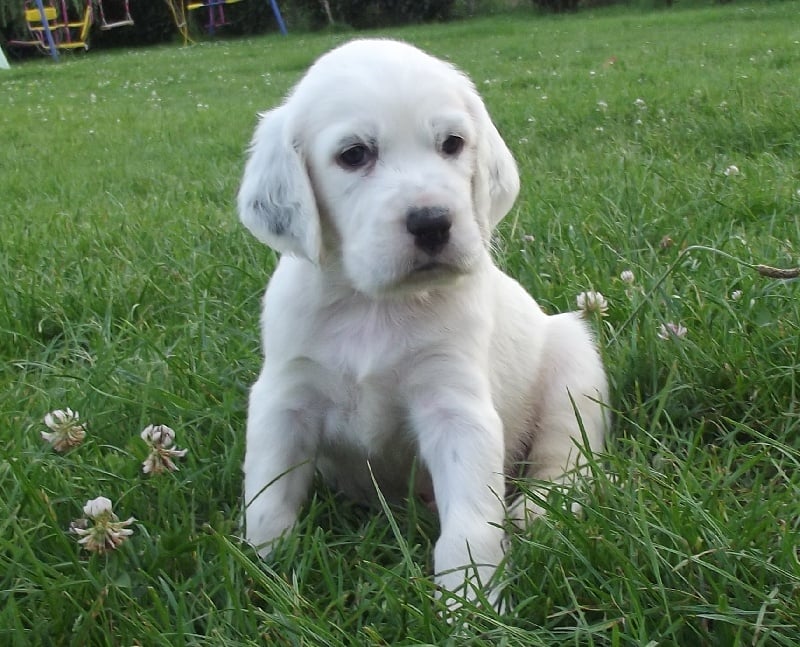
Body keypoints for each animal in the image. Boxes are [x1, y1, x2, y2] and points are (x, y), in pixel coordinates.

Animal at [238, 38, 608, 608]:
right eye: (354, 154)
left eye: (452, 144)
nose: (433, 222)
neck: (374, 304)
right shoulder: (285, 397)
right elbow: (266, 498)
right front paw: (266, 573)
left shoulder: (455, 407)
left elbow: (471, 526)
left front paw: (469, 605)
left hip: (574, 363)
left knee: (570, 460)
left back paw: (538, 511)